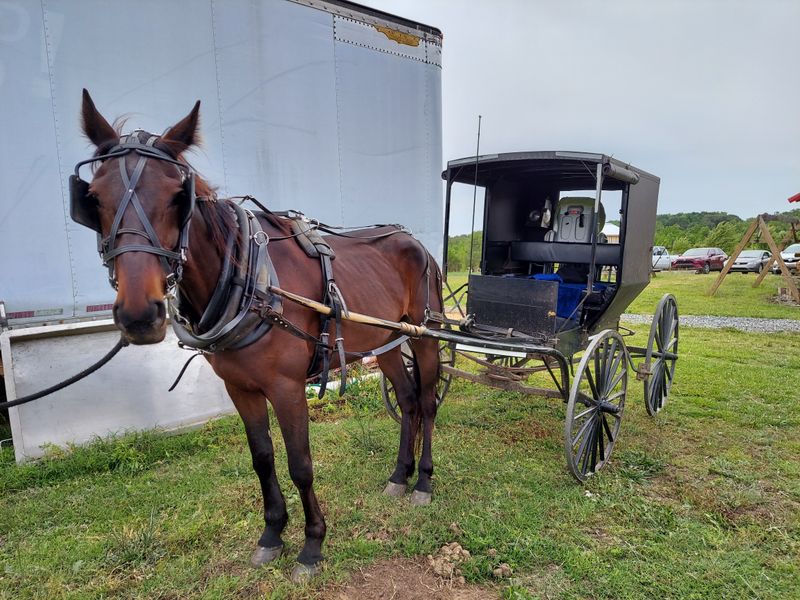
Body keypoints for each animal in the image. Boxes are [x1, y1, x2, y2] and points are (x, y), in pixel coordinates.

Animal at [73, 90, 443, 581]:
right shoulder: (240, 387)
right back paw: (399, 476)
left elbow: (300, 464)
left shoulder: (286, 387)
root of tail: (412, 240)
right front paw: (272, 534)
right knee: (406, 399)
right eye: (94, 198)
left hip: (424, 334)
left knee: (426, 401)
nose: (139, 314)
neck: (250, 279)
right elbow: (262, 458)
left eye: (177, 197)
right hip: (385, 340)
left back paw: (423, 481)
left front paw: (312, 546)